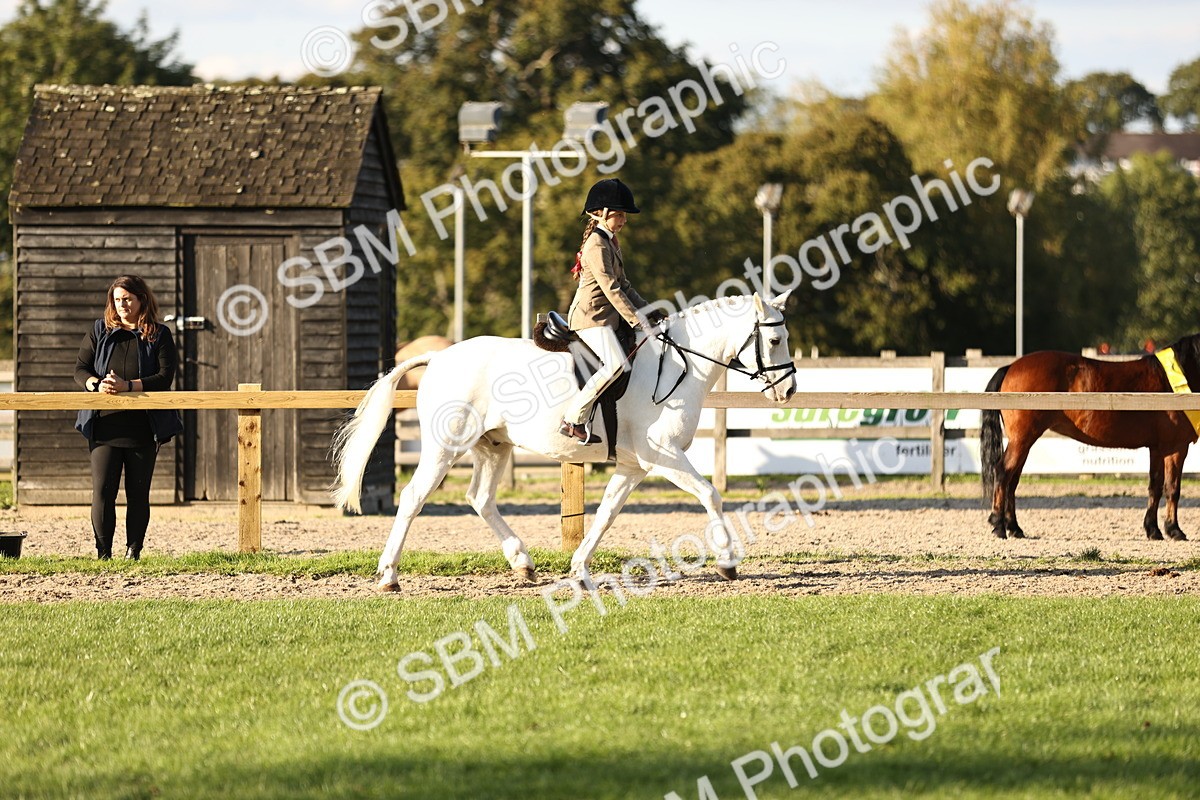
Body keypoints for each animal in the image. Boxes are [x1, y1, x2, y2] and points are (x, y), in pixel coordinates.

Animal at [332, 292, 797, 591]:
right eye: (775, 340)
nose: (790, 391)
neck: (677, 366)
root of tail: (440, 356)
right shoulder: (662, 456)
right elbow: (710, 494)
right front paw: (727, 563)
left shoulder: (633, 465)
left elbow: (606, 514)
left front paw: (579, 570)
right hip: (445, 447)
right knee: (414, 498)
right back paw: (389, 576)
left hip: (493, 446)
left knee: (480, 498)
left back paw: (523, 564)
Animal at [981, 334, 1200, 541]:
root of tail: (1010, 367)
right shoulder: (1176, 447)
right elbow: (1172, 488)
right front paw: (1174, 530)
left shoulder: (1157, 448)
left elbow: (1155, 487)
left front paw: (1153, 530)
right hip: (1022, 439)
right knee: (1002, 472)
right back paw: (998, 525)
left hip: (1023, 442)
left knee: (1012, 480)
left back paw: (1014, 528)